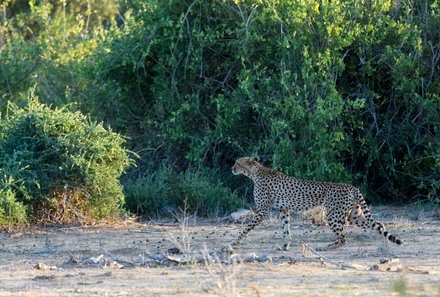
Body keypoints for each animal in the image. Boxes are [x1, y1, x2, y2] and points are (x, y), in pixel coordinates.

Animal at [230, 156, 402, 251]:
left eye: (237, 163)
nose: (232, 168)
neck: (254, 172)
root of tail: (351, 186)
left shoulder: (262, 211)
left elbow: (245, 229)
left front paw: (234, 242)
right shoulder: (283, 210)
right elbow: (286, 229)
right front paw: (285, 245)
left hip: (333, 216)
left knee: (344, 238)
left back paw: (324, 248)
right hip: (354, 216)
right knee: (379, 225)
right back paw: (384, 244)